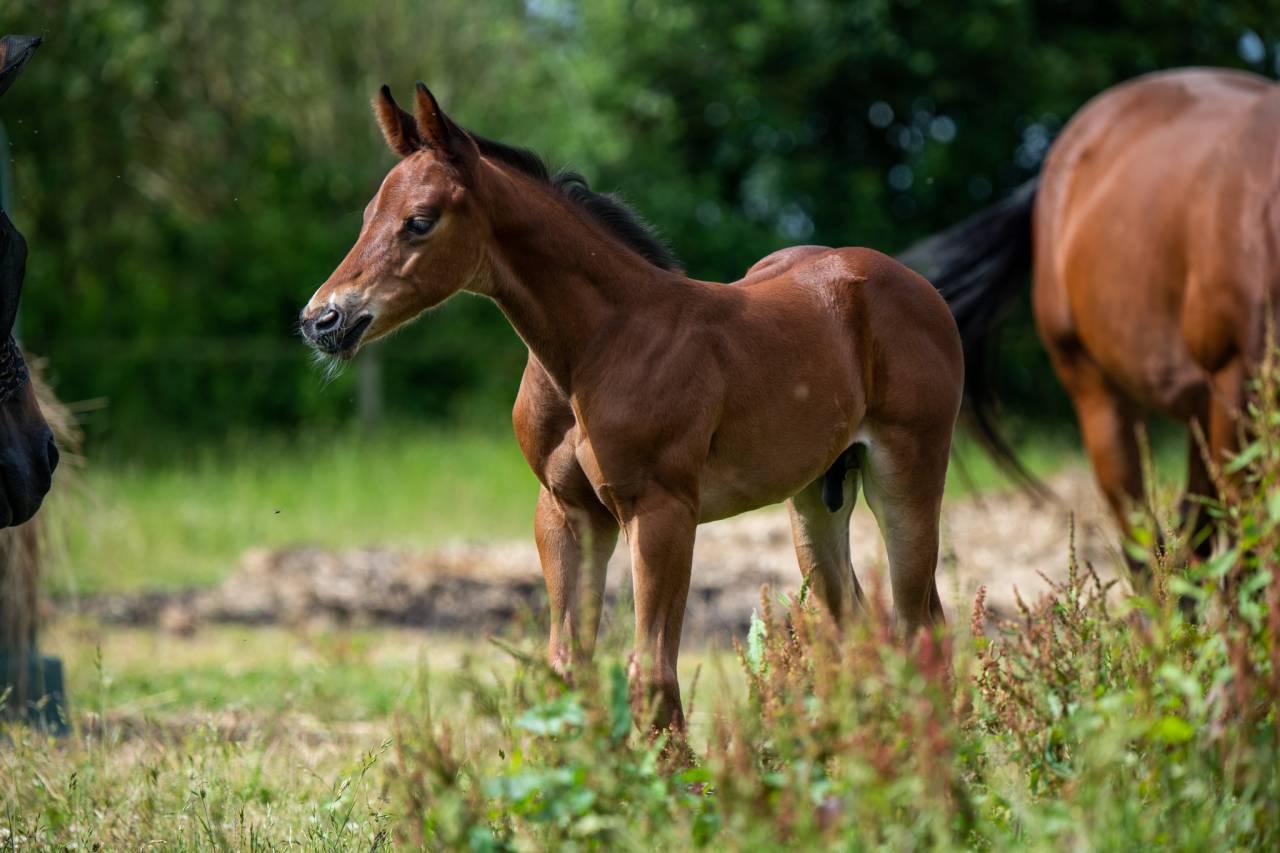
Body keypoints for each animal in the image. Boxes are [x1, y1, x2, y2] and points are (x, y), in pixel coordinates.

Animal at [300, 82, 964, 728]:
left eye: (420, 221)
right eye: (368, 215)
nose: (322, 319)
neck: (596, 346)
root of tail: (914, 283)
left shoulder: (661, 509)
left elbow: (652, 676)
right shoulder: (567, 512)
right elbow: (569, 667)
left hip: (906, 474)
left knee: (919, 626)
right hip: (815, 498)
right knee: (861, 627)